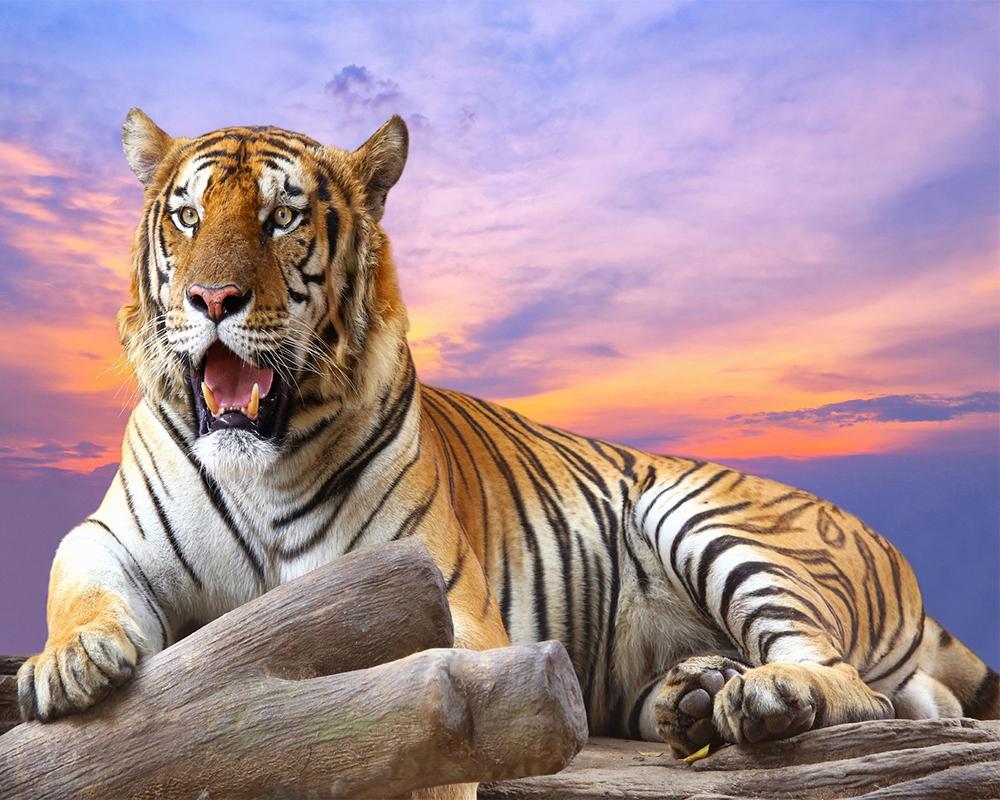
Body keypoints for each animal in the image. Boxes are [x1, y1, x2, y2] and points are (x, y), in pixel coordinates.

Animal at [18, 109, 998, 772]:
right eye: (186, 217)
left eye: (282, 218)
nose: (212, 299)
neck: (258, 462)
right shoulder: (111, 535)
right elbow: (81, 581)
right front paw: (68, 666)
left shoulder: (438, 600)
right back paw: (695, 698)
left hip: (704, 513)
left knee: (851, 682)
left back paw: (759, 697)